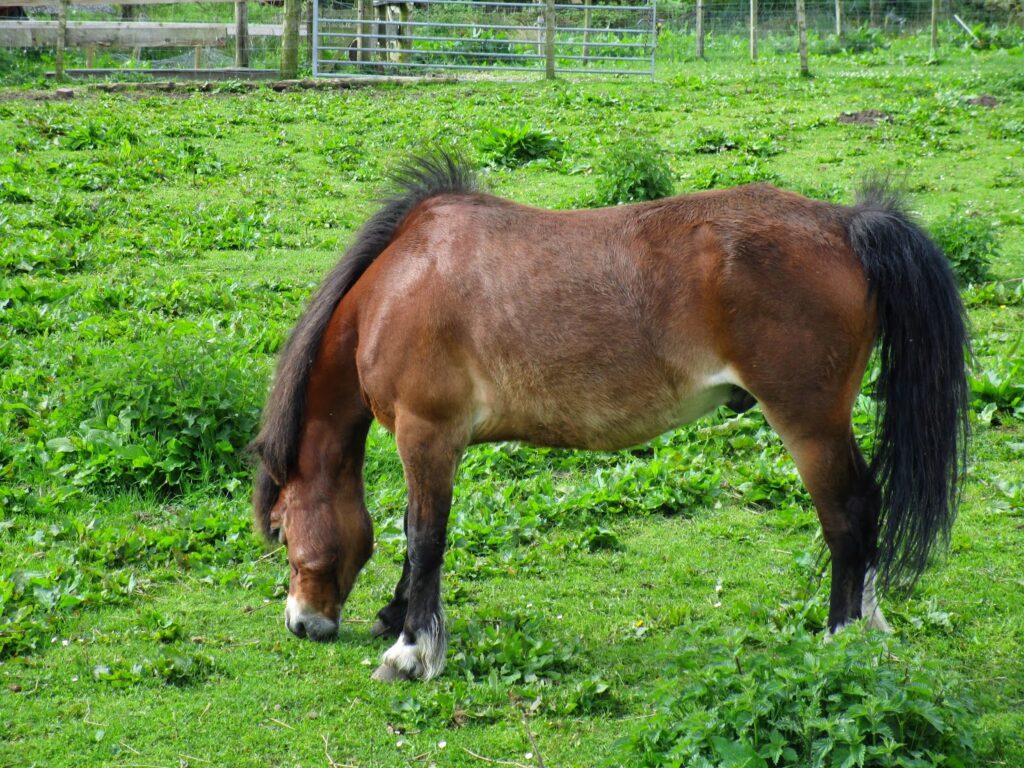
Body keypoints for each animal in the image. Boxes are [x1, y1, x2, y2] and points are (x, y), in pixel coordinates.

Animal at [250, 153, 968, 682]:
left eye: (281, 531)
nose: (302, 624)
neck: (399, 284)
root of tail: (846, 222)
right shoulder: (427, 443)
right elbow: (410, 531)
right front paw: (396, 614)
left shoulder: (425, 435)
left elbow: (426, 536)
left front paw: (411, 650)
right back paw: (869, 626)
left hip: (808, 423)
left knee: (849, 514)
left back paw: (843, 636)